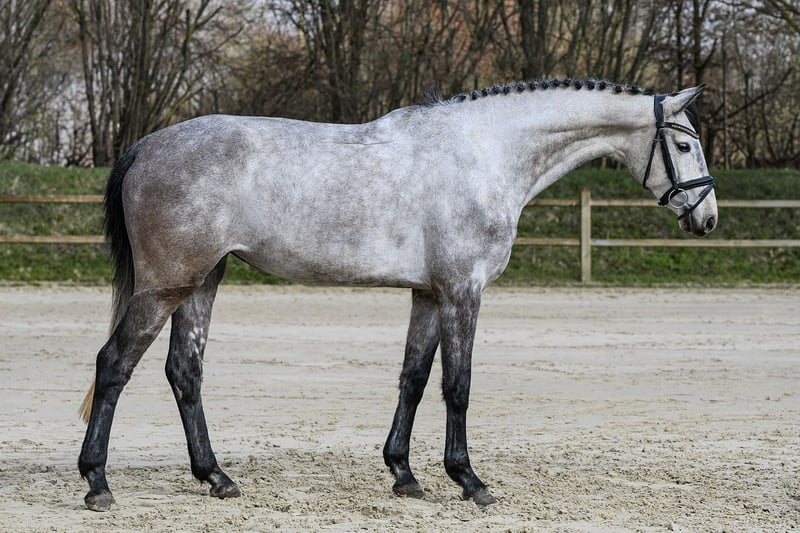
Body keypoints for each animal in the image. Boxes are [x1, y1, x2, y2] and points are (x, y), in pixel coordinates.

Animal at [78, 79, 717, 511]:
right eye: (686, 145)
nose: (707, 218)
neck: (485, 151)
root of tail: (147, 148)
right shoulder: (462, 292)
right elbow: (457, 386)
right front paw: (469, 480)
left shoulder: (428, 295)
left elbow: (414, 377)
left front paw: (404, 475)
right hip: (166, 286)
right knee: (114, 365)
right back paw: (97, 483)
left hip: (201, 282)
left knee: (185, 371)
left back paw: (216, 477)